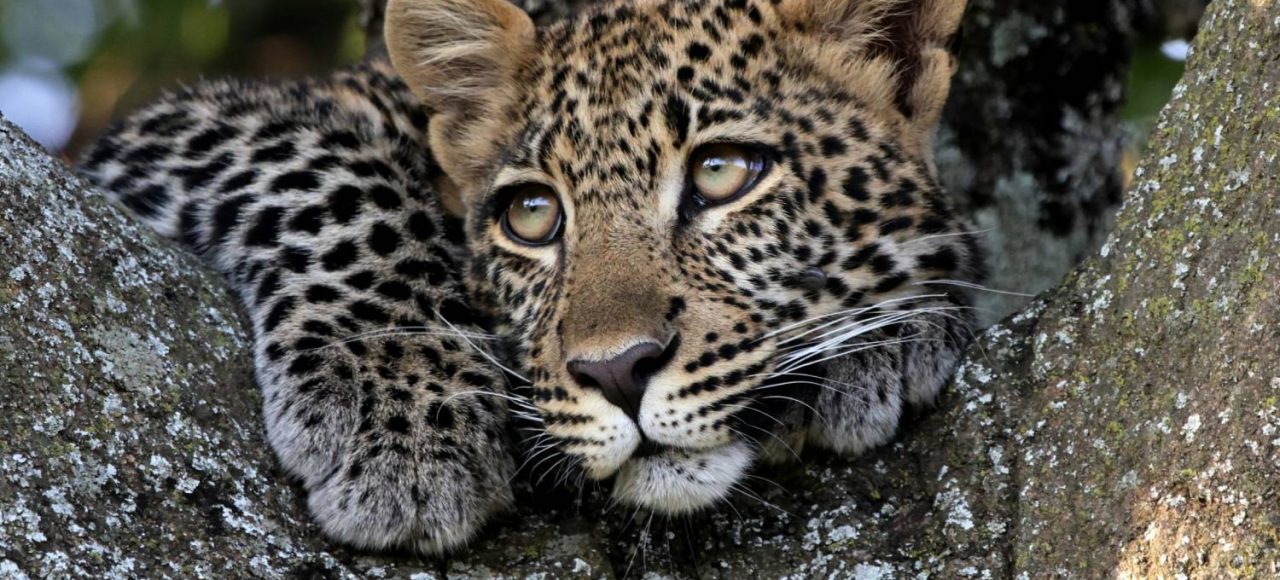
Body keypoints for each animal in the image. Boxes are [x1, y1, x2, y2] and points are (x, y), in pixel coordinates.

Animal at [79, 0, 983, 556]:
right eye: (533, 216)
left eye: (723, 173)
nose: (617, 373)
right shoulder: (179, 131)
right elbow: (330, 178)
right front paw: (402, 419)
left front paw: (889, 328)